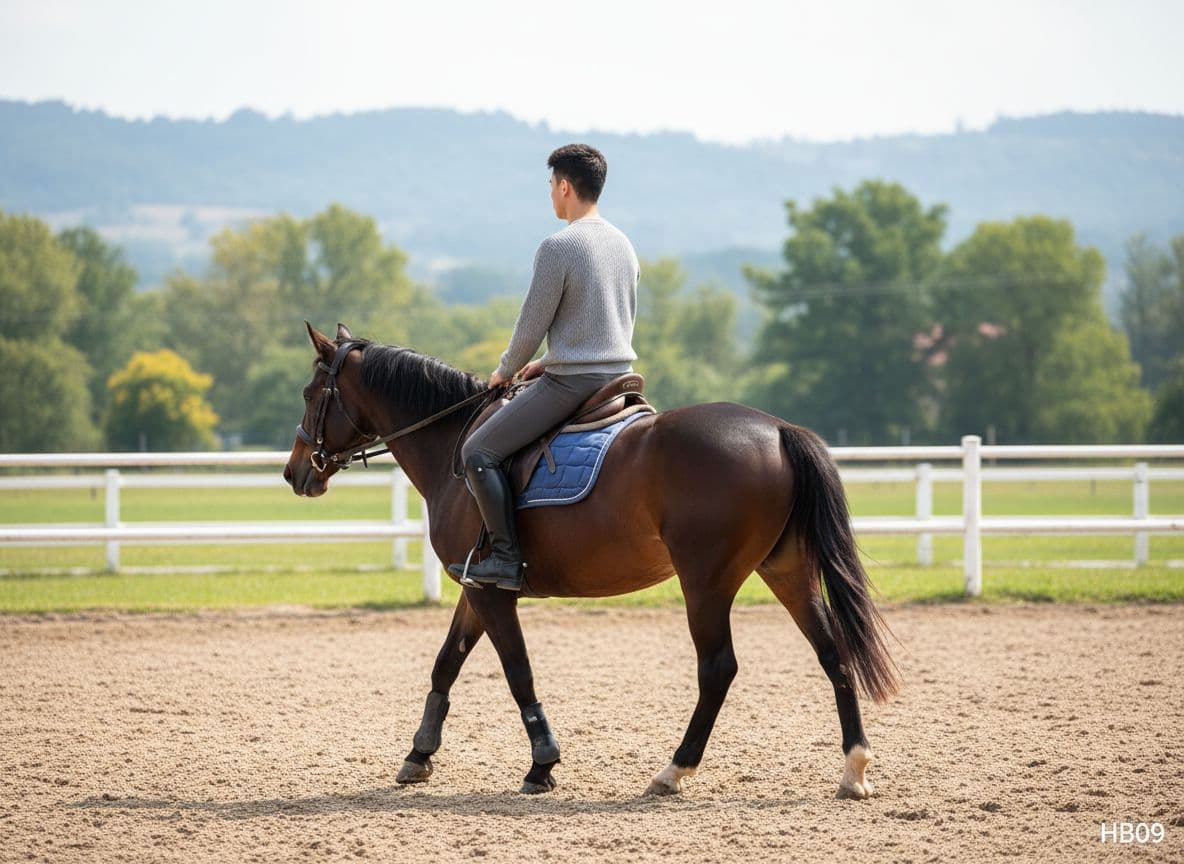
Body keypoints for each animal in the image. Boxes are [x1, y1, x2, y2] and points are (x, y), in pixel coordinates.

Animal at [284, 322, 899, 799]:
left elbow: (517, 671)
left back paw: (673, 771)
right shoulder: (475, 587)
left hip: (706, 582)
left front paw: (542, 764)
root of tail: (777, 429)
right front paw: (419, 755)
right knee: (832, 653)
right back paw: (853, 769)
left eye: (312, 393)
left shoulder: (491, 593)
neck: (452, 449)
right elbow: (446, 664)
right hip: (787, 571)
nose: (294, 473)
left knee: (718, 668)